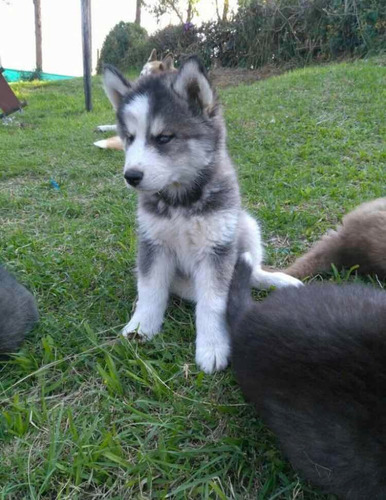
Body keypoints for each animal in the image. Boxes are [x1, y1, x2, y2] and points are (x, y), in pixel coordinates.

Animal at [102, 57, 302, 372]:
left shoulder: (216, 247)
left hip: (245, 225)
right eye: (129, 138)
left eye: (164, 137)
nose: (131, 176)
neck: (180, 202)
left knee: (250, 272)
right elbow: (150, 290)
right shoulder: (152, 243)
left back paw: (278, 281)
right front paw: (140, 328)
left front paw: (212, 347)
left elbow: (213, 302)